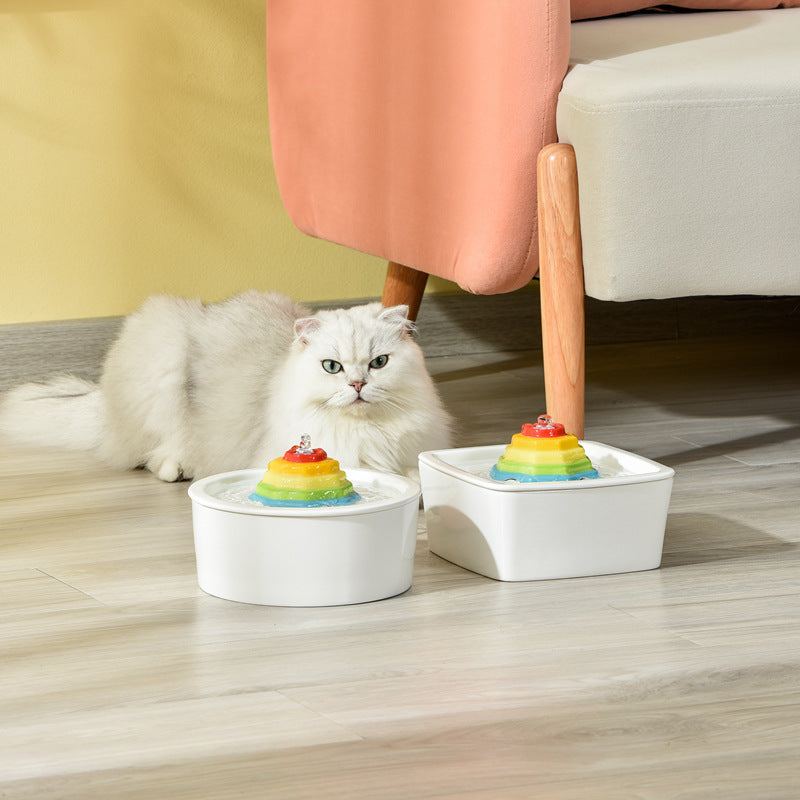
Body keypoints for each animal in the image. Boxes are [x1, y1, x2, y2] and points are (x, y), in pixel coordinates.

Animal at [0, 292, 450, 482]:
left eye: (379, 363)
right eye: (332, 367)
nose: (357, 384)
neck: (368, 429)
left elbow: (413, 474)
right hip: (164, 358)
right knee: (152, 456)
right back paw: (179, 470)